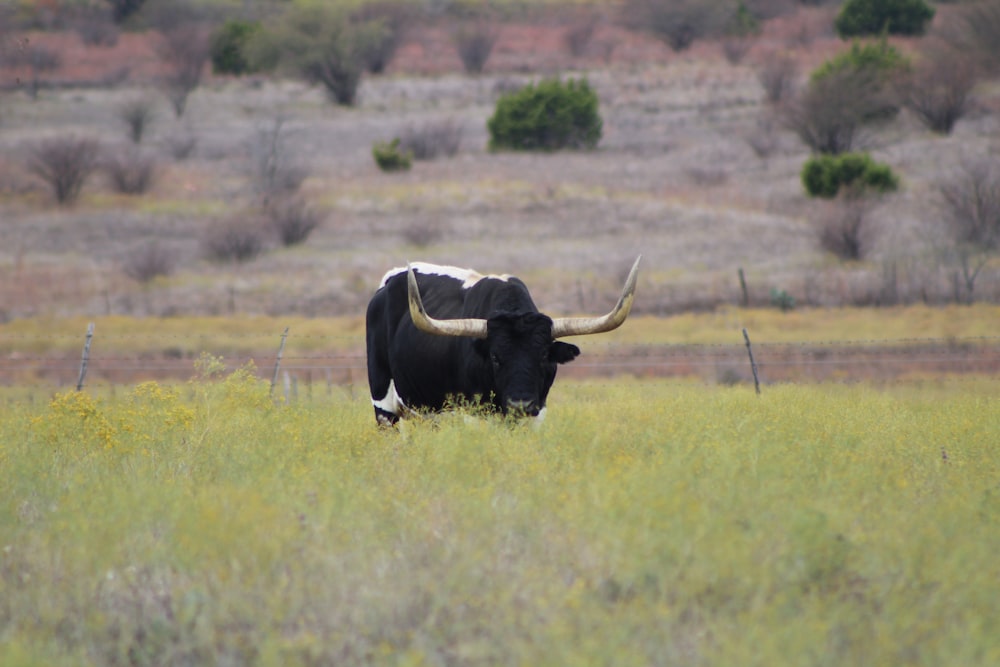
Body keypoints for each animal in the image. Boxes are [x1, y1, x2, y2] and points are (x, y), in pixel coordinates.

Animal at [366, 258, 640, 426]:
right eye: (495, 357)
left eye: (543, 356)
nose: (520, 404)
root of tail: (389, 282)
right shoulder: (474, 416)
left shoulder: (537, 414)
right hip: (384, 406)